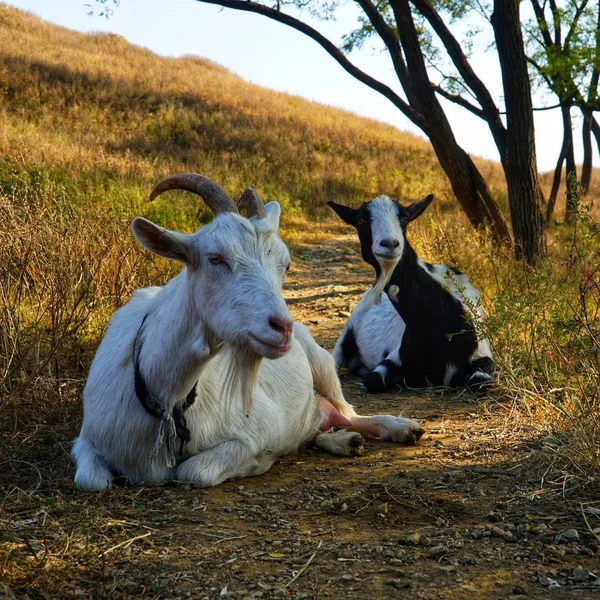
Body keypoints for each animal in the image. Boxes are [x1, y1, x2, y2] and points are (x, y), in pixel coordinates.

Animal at [72, 175, 424, 492]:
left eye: (286, 265)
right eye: (215, 258)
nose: (283, 328)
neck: (163, 399)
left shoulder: (258, 430)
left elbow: (194, 471)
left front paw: (257, 462)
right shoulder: (86, 440)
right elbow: (91, 480)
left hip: (323, 364)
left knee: (348, 412)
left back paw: (398, 427)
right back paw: (344, 441)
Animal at [330, 193, 494, 394]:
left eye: (404, 218)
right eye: (361, 220)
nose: (390, 244)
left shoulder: (483, 354)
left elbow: (479, 380)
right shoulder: (395, 357)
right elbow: (372, 380)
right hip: (348, 329)